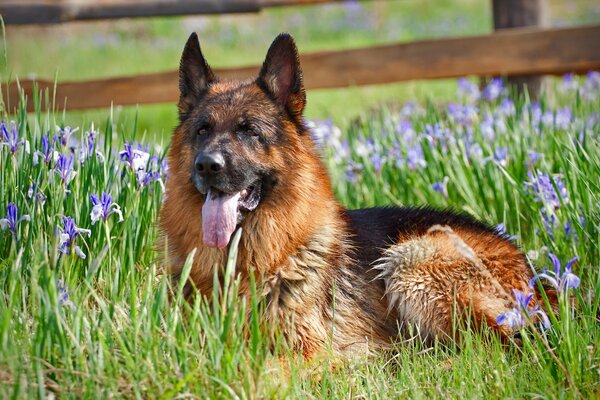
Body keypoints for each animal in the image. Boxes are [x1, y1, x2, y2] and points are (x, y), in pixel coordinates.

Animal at [161, 32, 548, 358]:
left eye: (250, 131)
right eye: (203, 130)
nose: (207, 165)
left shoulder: (308, 351)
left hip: (410, 261)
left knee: (505, 345)